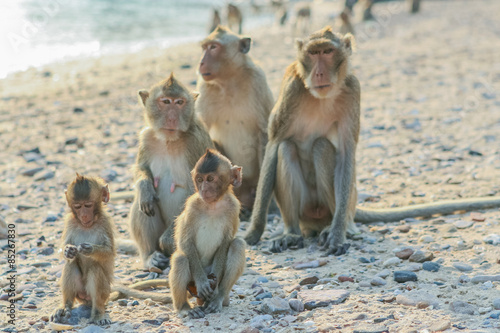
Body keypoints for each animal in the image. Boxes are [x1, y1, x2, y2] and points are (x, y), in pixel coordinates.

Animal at [51, 174, 116, 324]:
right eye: (78, 206)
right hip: (79, 294)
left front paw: (89, 250)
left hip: (106, 292)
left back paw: (98, 313)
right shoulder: (70, 221)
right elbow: (66, 252)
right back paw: (66, 306)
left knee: (95, 269)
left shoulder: (105, 222)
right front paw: (68, 250)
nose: (84, 215)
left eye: (88, 205)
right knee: (71, 264)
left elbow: (109, 253)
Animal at [129, 72, 213, 274]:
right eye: (166, 101)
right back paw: (150, 256)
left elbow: (198, 191)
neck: (169, 139)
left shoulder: (195, 142)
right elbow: (141, 168)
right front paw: (145, 187)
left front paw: (167, 240)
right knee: (142, 204)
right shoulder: (146, 137)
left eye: (180, 102)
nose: (173, 118)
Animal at [169, 149, 245, 318]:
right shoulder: (192, 206)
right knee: (181, 259)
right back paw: (184, 307)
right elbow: (186, 242)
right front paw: (202, 282)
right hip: (191, 286)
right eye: (199, 179)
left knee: (237, 244)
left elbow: (226, 243)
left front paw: (215, 289)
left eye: (210, 179)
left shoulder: (233, 208)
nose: (203, 189)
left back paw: (219, 298)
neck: (214, 205)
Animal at [195, 26, 274, 213]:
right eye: (204, 47)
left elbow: (264, 132)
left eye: (213, 47)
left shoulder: (258, 81)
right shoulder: (205, 88)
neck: (229, 81)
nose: (200, 63)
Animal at [244, 26, 500, 254]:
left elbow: (346, 153)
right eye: (313, 53)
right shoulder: (292, 88)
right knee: (286, 148)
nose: (319, 73)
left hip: (342, 204)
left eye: (327, 51)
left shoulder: (353, 89)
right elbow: (274, 144)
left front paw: (337, 234)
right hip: (306, 212)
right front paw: (254, 231)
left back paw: (339, 227)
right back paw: (292, 233)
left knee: (321, 148)